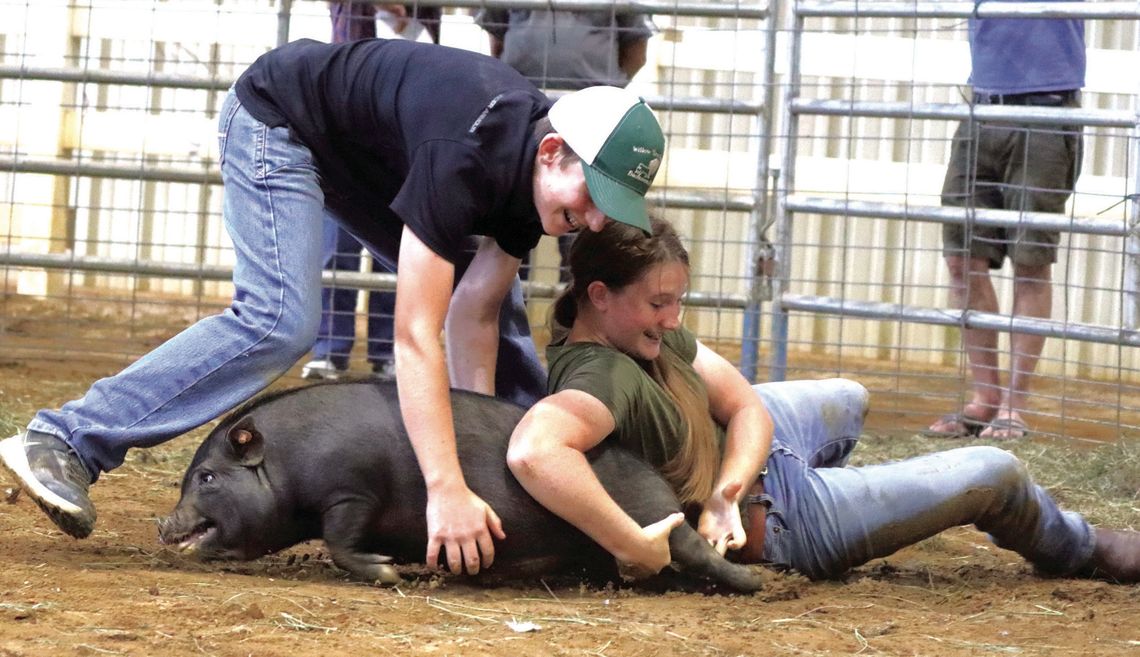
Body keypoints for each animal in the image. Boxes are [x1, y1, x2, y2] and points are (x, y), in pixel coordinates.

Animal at [158, 378, 766, 588]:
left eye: (207, 477)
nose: (165, 523)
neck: (287, 463)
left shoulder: (351, 493)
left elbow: (340, 541)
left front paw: (388, 572)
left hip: (650, 519)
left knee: (693, 549)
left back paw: (754, 586)